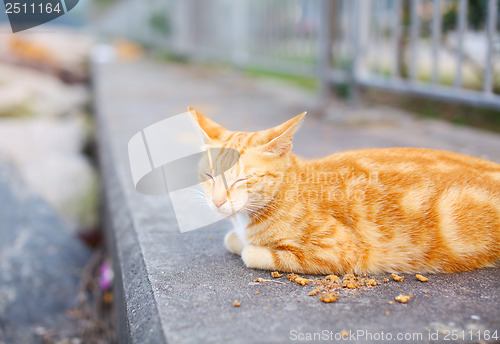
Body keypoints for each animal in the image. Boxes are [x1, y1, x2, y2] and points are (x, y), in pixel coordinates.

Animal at [190, 107, 500, 274]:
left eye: (242, 180)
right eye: (209, 175)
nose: (217, 202)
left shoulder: (339, 250)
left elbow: (251, 252)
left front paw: (249, 245)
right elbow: (232, 239)